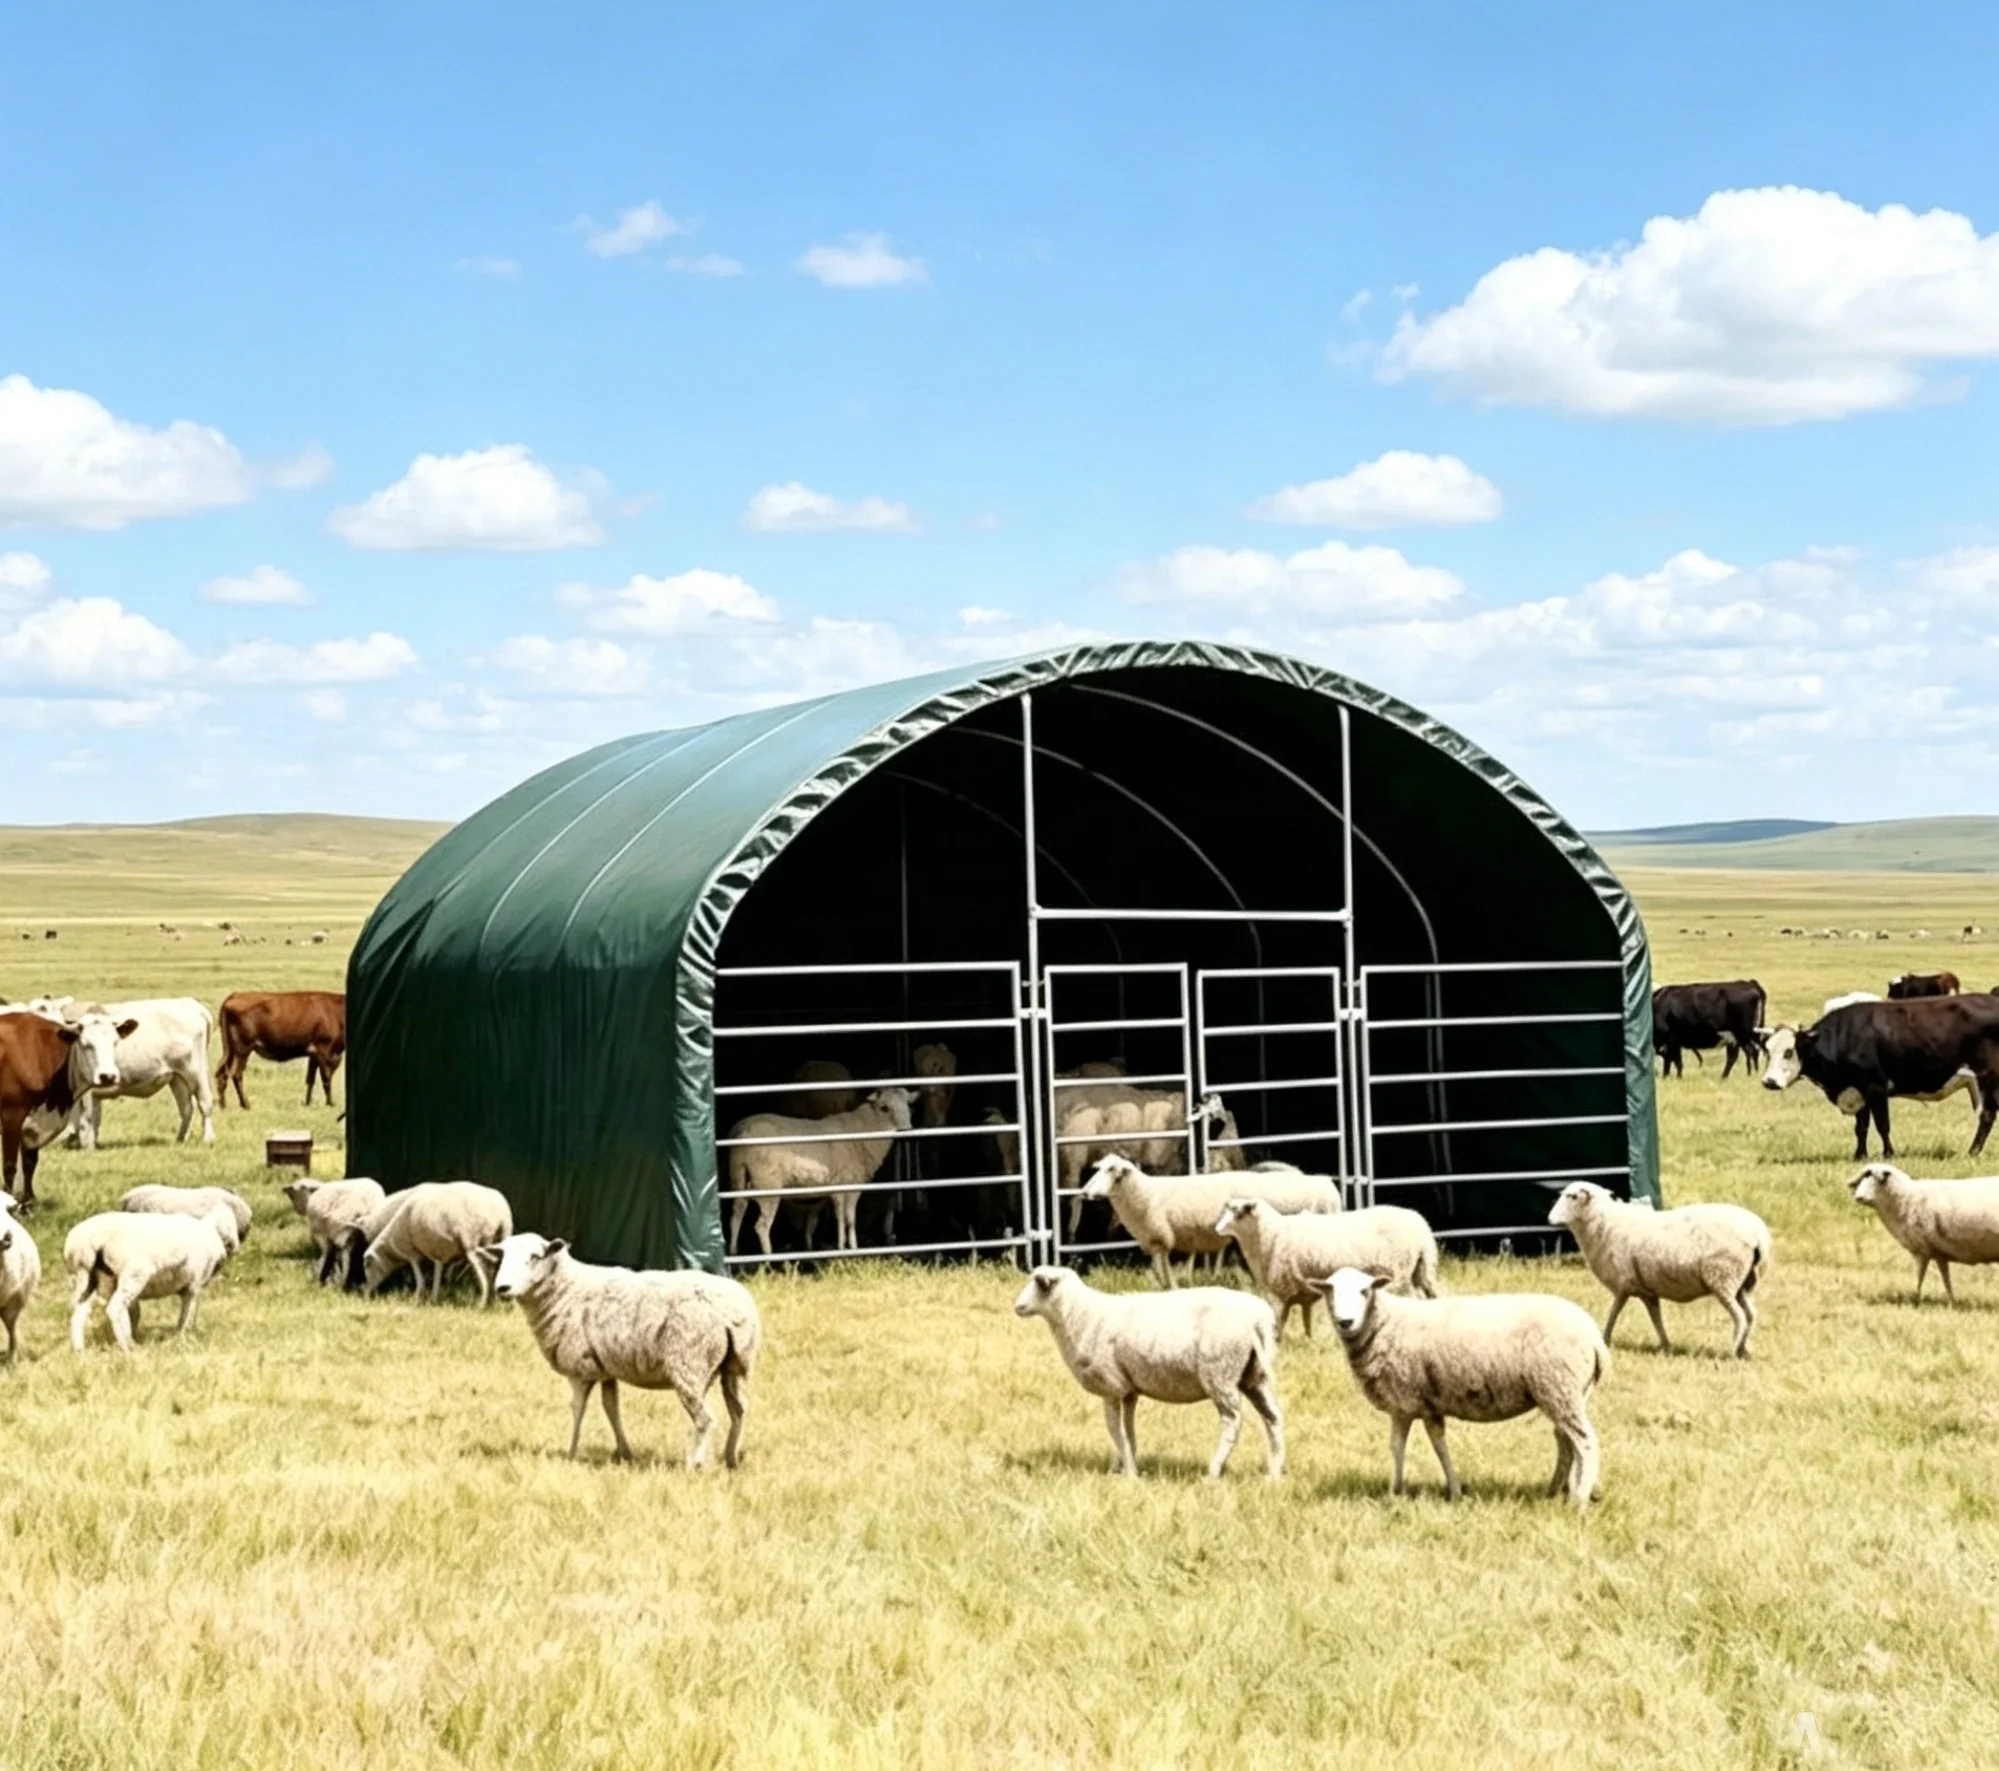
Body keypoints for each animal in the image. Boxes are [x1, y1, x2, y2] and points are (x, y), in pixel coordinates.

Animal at [0, 1009, 133, 1206]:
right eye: (86, 1045)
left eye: (115, 1042)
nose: (108, 1076)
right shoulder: (12, 1117)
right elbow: (10, 1167)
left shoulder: (34, 1126)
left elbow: (30, 1163)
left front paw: (29, 1202)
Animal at [60, 997, 217, 1148]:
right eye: (86, 1044)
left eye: (114, 1042)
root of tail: (192, 1004)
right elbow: (94, 1119)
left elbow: (85, 1120)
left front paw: (87, 1146)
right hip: (177, 1077)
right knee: (186, 1108)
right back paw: (180, 1139)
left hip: (196, 1071)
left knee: (205, 1102)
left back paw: (207, 1139)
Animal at [215, 991, 347, 1108]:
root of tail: (235, 994)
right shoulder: (325, 1050)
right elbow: (326, 1079)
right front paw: (330, 1103)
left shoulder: (314, 1054)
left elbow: (311, 1079)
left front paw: (307, 1103)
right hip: (242, 1049)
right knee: (235, 1074)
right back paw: (245, 1105)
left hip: (230, 1050)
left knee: (221, 1073)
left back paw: (223, 1105)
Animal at [1761, 994, 1999, 1159]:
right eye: (1767, 1050)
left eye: (1789, 1052)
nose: (1769, 1082)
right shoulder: (1858, 1091)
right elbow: (1861, 1127)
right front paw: (1859, 1155)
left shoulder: (1875, 1087)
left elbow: (1882, 1125)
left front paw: (1888, 1153)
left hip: (1988, 1079)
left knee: (1987, 1116)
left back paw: (1973, 1151)